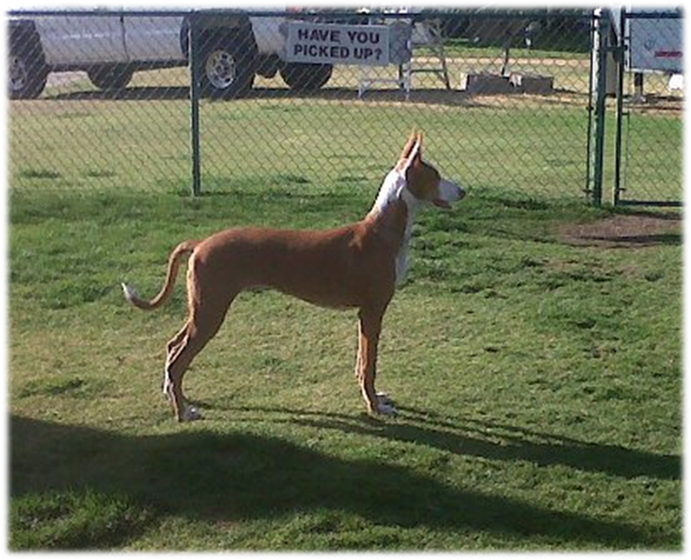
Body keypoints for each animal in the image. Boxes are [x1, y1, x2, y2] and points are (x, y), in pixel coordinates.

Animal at [122, 131, 468, 420]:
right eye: (435, 175)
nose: (464, 190)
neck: (383, 231)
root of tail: (200, 243)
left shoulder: (364, 315)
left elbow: (361, 363)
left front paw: (376, 399)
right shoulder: (372, 311)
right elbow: (369, 365)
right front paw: (374, 406)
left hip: (201, 309)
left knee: (172, 347)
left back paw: (174, 394)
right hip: (210, 313)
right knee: (179, 360)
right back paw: (183, 412)